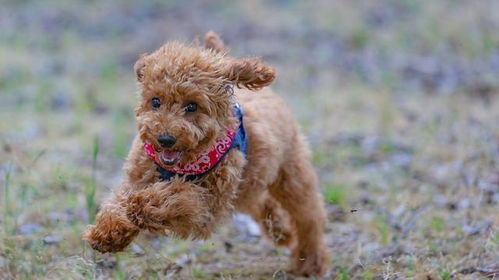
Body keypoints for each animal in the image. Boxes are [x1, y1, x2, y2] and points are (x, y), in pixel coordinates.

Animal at [84, 31, 330, 276]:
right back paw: (281, 232)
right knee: (262, 202)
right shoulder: (137, 177)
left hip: (291, 174)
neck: (185, 164)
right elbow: (118, 203)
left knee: (309, 216)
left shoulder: (208, 207)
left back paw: (310, 262)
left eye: (192, 106)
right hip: (249, 183)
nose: (165, 139)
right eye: (155, 101)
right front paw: (107, 234)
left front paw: (139, 206)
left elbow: (177, 198)